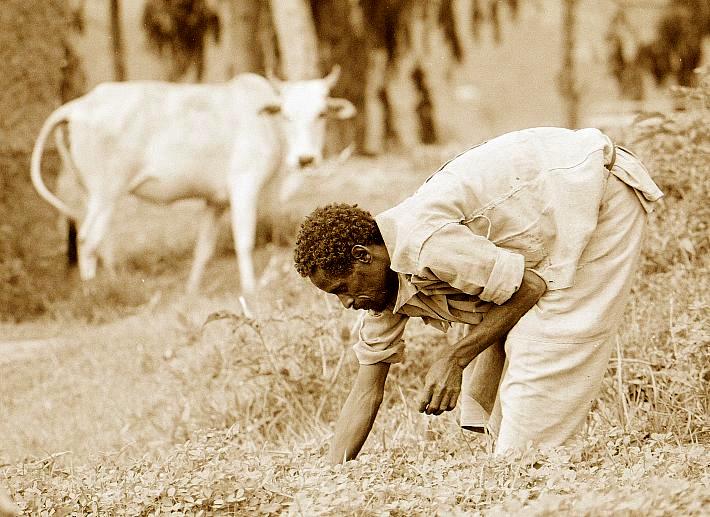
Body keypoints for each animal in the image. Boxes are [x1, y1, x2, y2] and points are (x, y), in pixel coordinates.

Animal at [31, 68, 358, 294]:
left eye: (322, 113)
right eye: (287, 115)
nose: (306, 159)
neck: (268, 125)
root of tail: (78, 106)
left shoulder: (215, 201)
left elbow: (204, 249)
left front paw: (191, 291)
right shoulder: (244, 187)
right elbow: (244, 240)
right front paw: (250, 288)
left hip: (95, 194)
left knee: (101, 241)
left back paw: (114, 282)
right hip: (106, 191)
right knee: (88, 239)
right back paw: (93, 292)